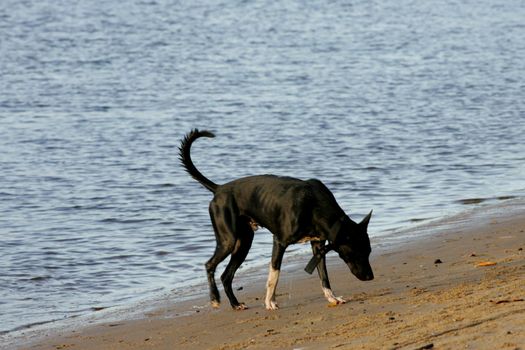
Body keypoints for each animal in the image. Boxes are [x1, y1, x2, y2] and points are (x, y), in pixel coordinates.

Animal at [180, 130, 372, 310]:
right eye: (357, 252)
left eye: (369, 251)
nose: (371, 277)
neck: (314, 204)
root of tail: (219, 189)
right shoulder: (279, 242)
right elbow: (275, 274)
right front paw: (270, 302)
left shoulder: (318, 245)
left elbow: (324, 275)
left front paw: (332, 297)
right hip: (228, 241)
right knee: (209, 265)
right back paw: (214, 298)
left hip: (244, 243)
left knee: (226, 276)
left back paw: (235, 304)